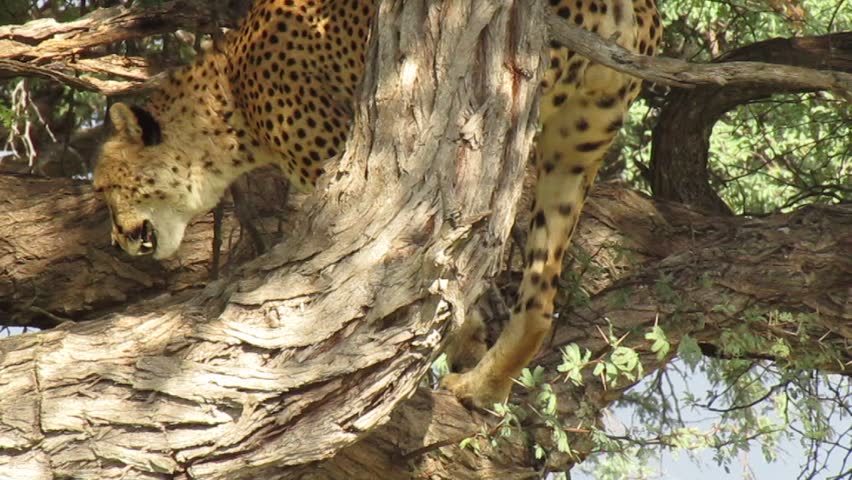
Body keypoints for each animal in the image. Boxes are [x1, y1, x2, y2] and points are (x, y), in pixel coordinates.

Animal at [93, 0, 662, 408]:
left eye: (102, 188)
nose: (116, 241)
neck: (227, 97)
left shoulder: (346, 163)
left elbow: (427, 268)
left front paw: (456, 338)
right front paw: (466, 348)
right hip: (573, 149)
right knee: (540, 296)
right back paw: (483, 385)